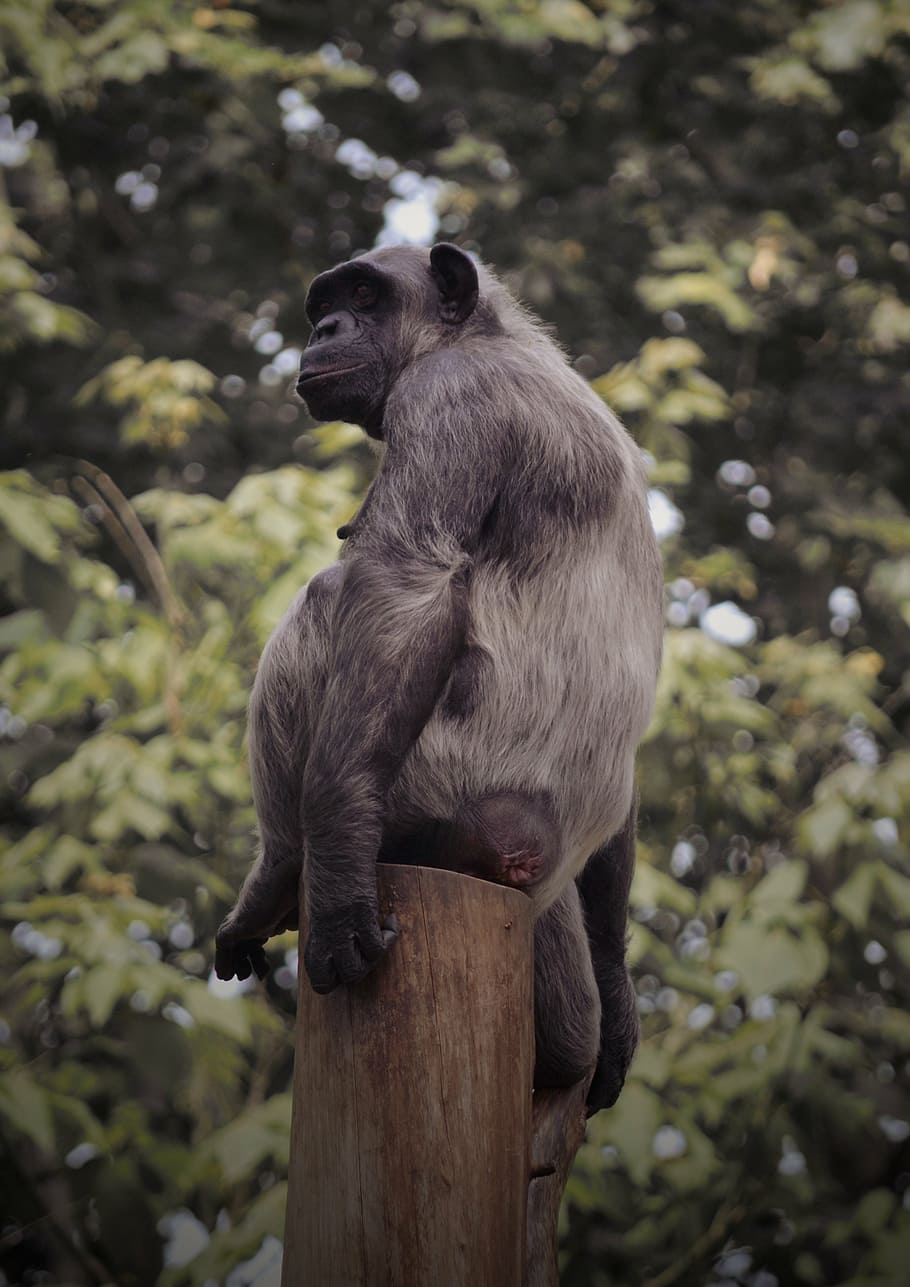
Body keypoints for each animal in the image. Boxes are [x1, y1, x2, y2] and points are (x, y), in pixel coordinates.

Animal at [214, 242, 663, 1113]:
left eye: (364, 293)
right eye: (325, 302)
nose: (326, 326)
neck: (479, 338)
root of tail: (522, 852)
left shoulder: (448, 400)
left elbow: (403, 584)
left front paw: (338, 882)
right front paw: (621, 997)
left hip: (437, 795)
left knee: (330, 598)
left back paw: (279, 873)